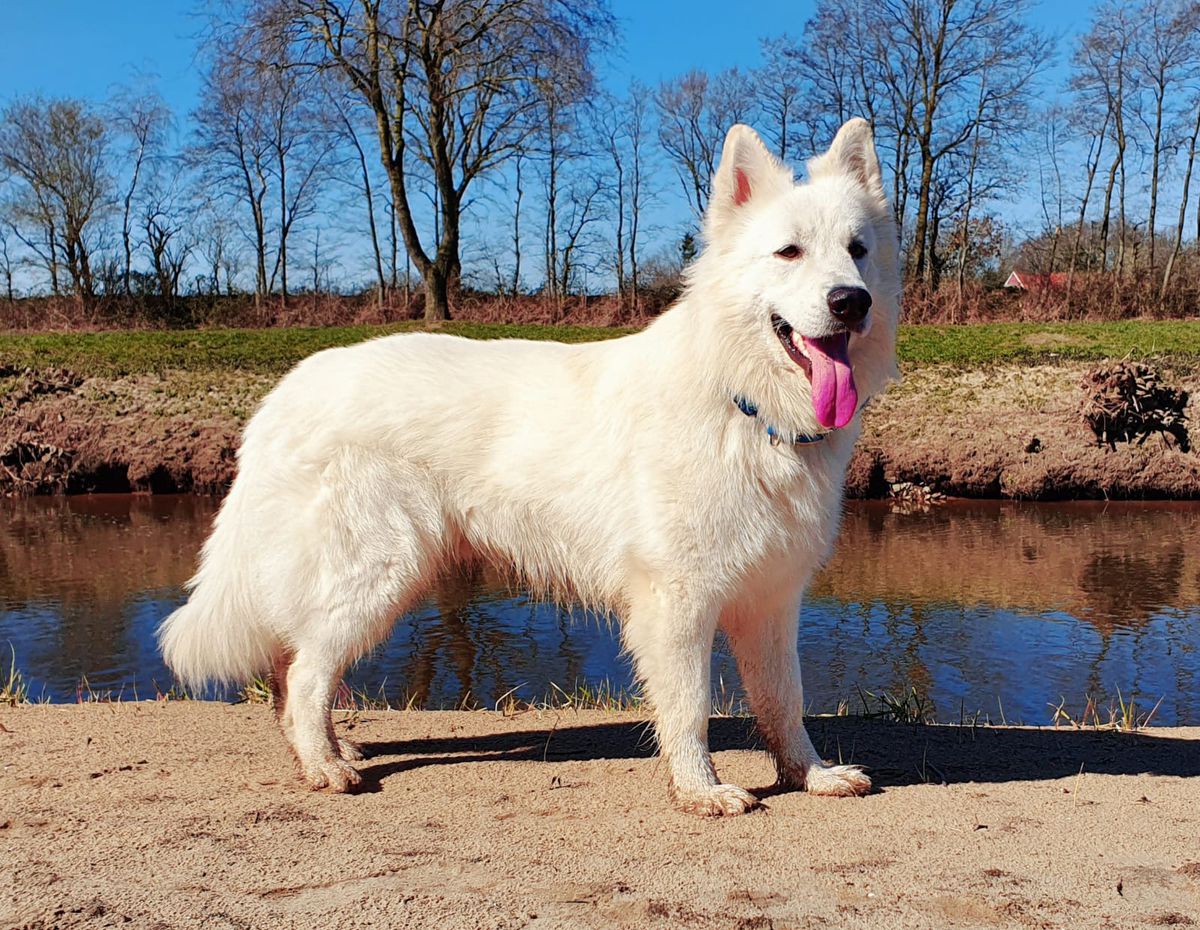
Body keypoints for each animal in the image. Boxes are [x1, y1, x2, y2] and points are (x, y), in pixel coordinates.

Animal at [166, 120, 902, 820]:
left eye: (857, 250)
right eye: (789, 252)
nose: (851, 302)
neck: (743, 403)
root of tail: (285, 390)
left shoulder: (770, 601)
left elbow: (784, 702)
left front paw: (809, 775)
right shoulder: (677, 602)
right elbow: (690, 709)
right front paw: (700, 790)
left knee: (288, 673)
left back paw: (327, 751)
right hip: (376, 576)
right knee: (305, 677)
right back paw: (325, 766)